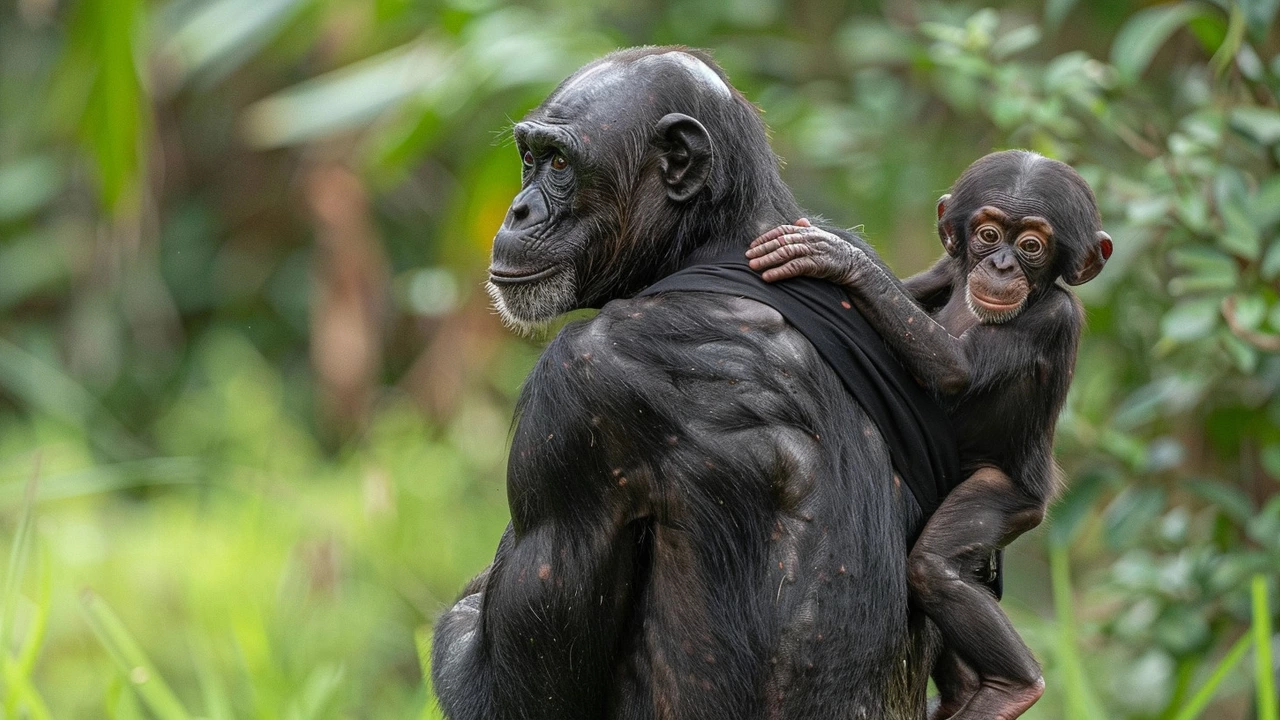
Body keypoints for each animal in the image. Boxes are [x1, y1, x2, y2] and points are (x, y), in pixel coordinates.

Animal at [435, 47, 957, 712]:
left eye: (558, 164)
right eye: (528, 158)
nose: (518, 209)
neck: (718, 245)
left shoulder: (572, 397)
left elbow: (513, 692)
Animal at [747, 148, 1116, 712]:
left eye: (1032, 246)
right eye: (988, 234)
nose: (1002, 265)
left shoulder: (1050, 317)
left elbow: (956, 369)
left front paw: (839, 258)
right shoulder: (945, 269)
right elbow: (911, 297)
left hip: (1014, 498)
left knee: (936, 566)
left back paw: (1012, 689)